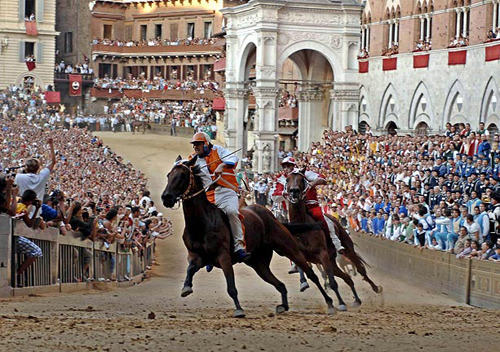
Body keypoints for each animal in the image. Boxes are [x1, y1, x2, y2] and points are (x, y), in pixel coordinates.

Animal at [162, 157, 338, 316]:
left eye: (183, 175)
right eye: (169, 175)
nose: (166, 197)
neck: (202, 222)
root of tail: (271, 216)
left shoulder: (223, 256)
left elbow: (231, 286)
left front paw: (239, 309)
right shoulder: (196, 256)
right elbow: (190, 269)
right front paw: (186, 287)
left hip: (288, 247)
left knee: (311, 274)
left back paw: (330, 303)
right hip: (258, 263)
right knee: (280, 284)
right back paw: (283, 306)